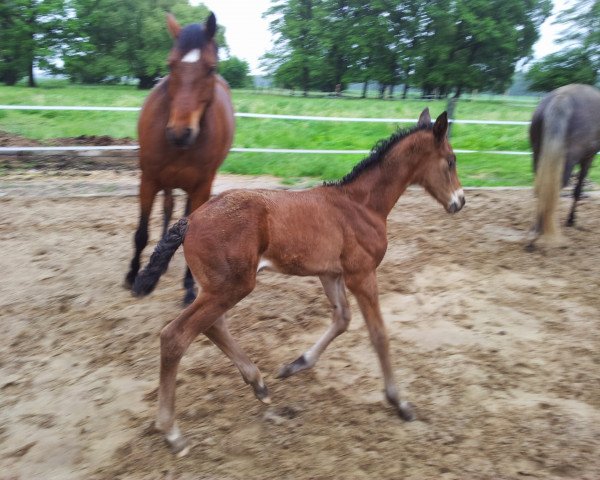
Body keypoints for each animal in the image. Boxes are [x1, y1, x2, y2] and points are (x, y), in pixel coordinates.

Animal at [135, 108, 464, 454]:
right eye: (451, 160)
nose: (460, 201)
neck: (361, 205)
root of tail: (190, 220)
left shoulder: (331, 274)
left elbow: (342, 319)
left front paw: (296, 364)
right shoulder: (361, 274)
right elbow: (378, 334)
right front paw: (399, 402)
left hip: (218, 286)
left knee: (213, 326)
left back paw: (259, 384)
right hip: (233, 286)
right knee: (176, 336)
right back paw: (172, 431)